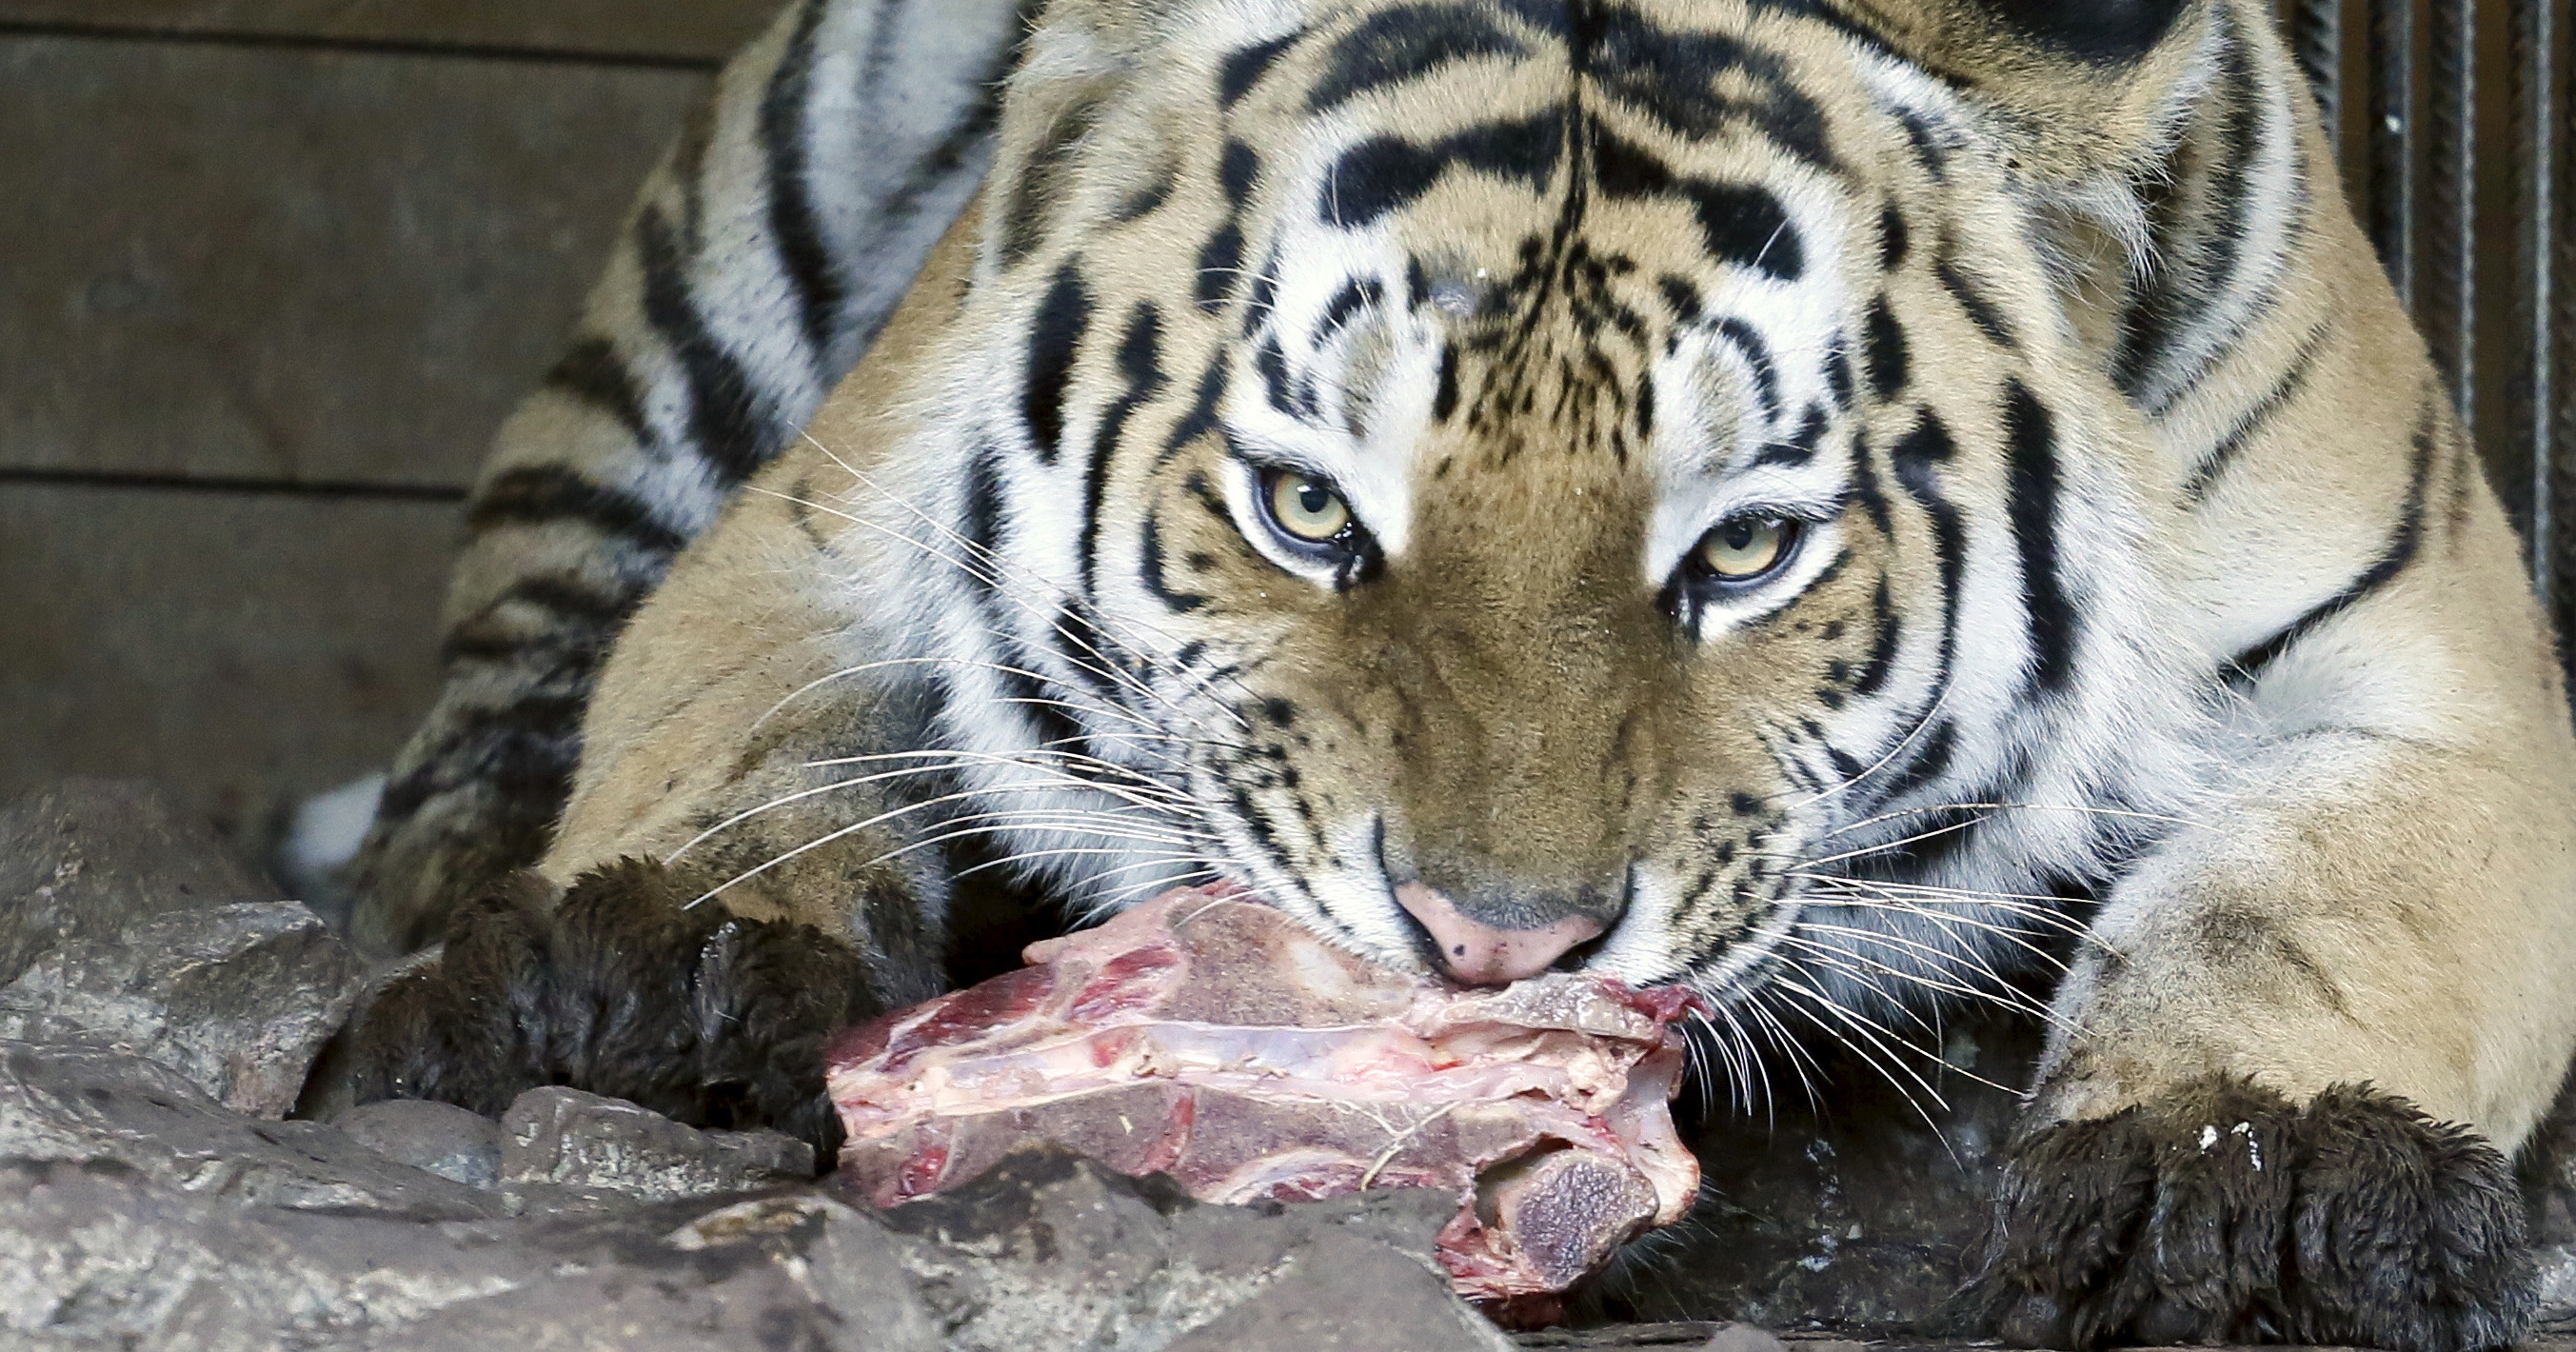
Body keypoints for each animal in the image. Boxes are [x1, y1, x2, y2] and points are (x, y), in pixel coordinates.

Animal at [347, 0, 2576, 1339]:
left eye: (1745, 548)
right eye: (1310, 510)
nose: (1499, 949)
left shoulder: (2443, 673)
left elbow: (2306, 911)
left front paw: (2251, 1185)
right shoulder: (814, 533)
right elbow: (743, 750)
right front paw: (651, 968)